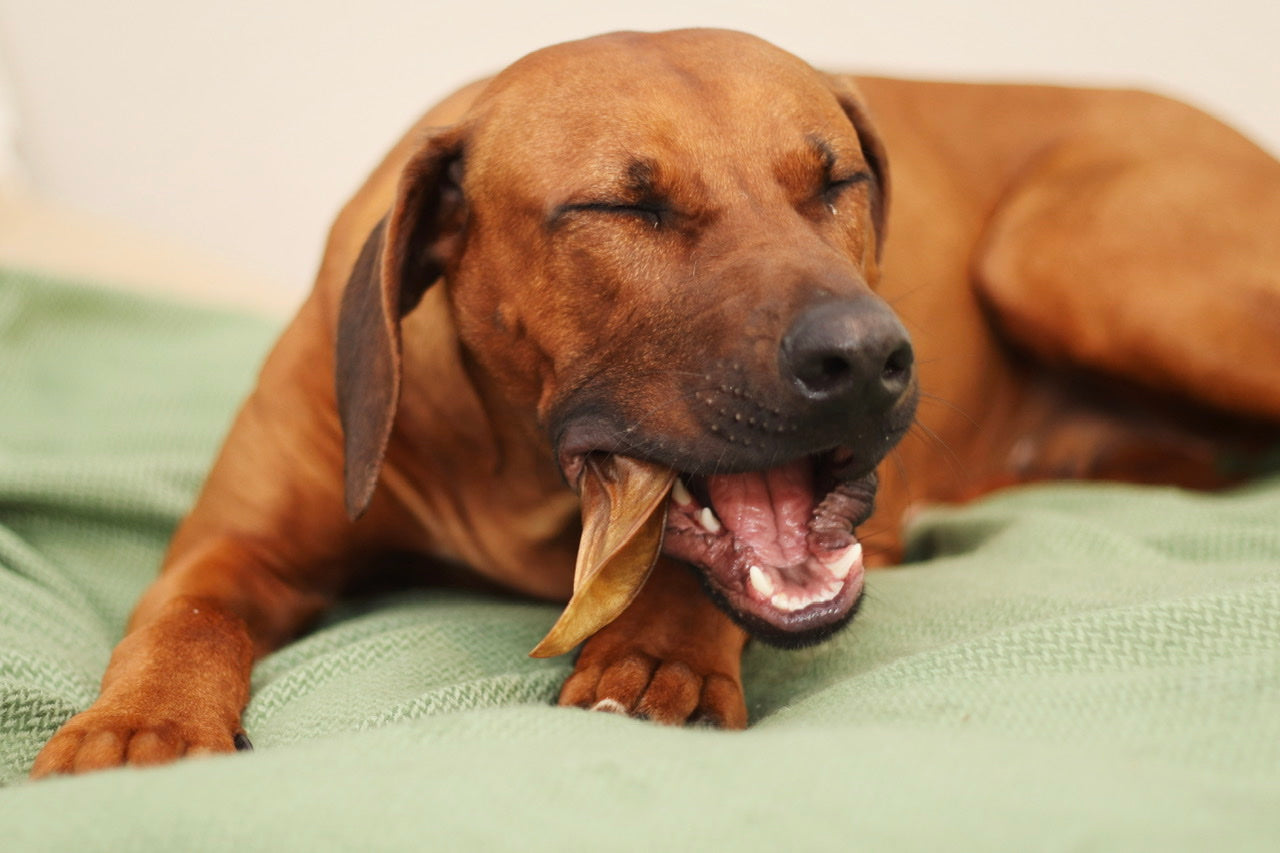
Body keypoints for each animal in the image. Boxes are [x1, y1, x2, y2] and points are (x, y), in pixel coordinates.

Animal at [30, 28, 1280, 768]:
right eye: (621, 209)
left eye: (836, 180)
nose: (871, 358)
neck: (519, 471)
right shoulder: (234, 543)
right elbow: (186, 614)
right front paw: (138, 723)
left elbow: (692, 573)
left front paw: (654, 653)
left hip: (1064, 255)